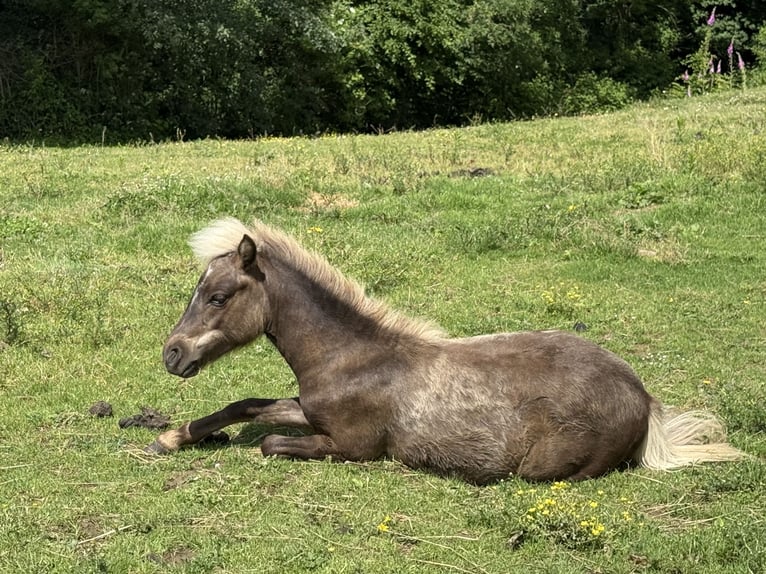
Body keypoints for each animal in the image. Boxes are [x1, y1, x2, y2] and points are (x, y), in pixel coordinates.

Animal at [148, 217, 744, 484]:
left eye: (218, 296)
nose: (172, 355)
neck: (351, 359)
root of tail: (644, 399)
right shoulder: (309, 407)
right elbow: (246, 405)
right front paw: (172, 437)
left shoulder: (353, 445)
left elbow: (271, 442)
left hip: (543, 469)